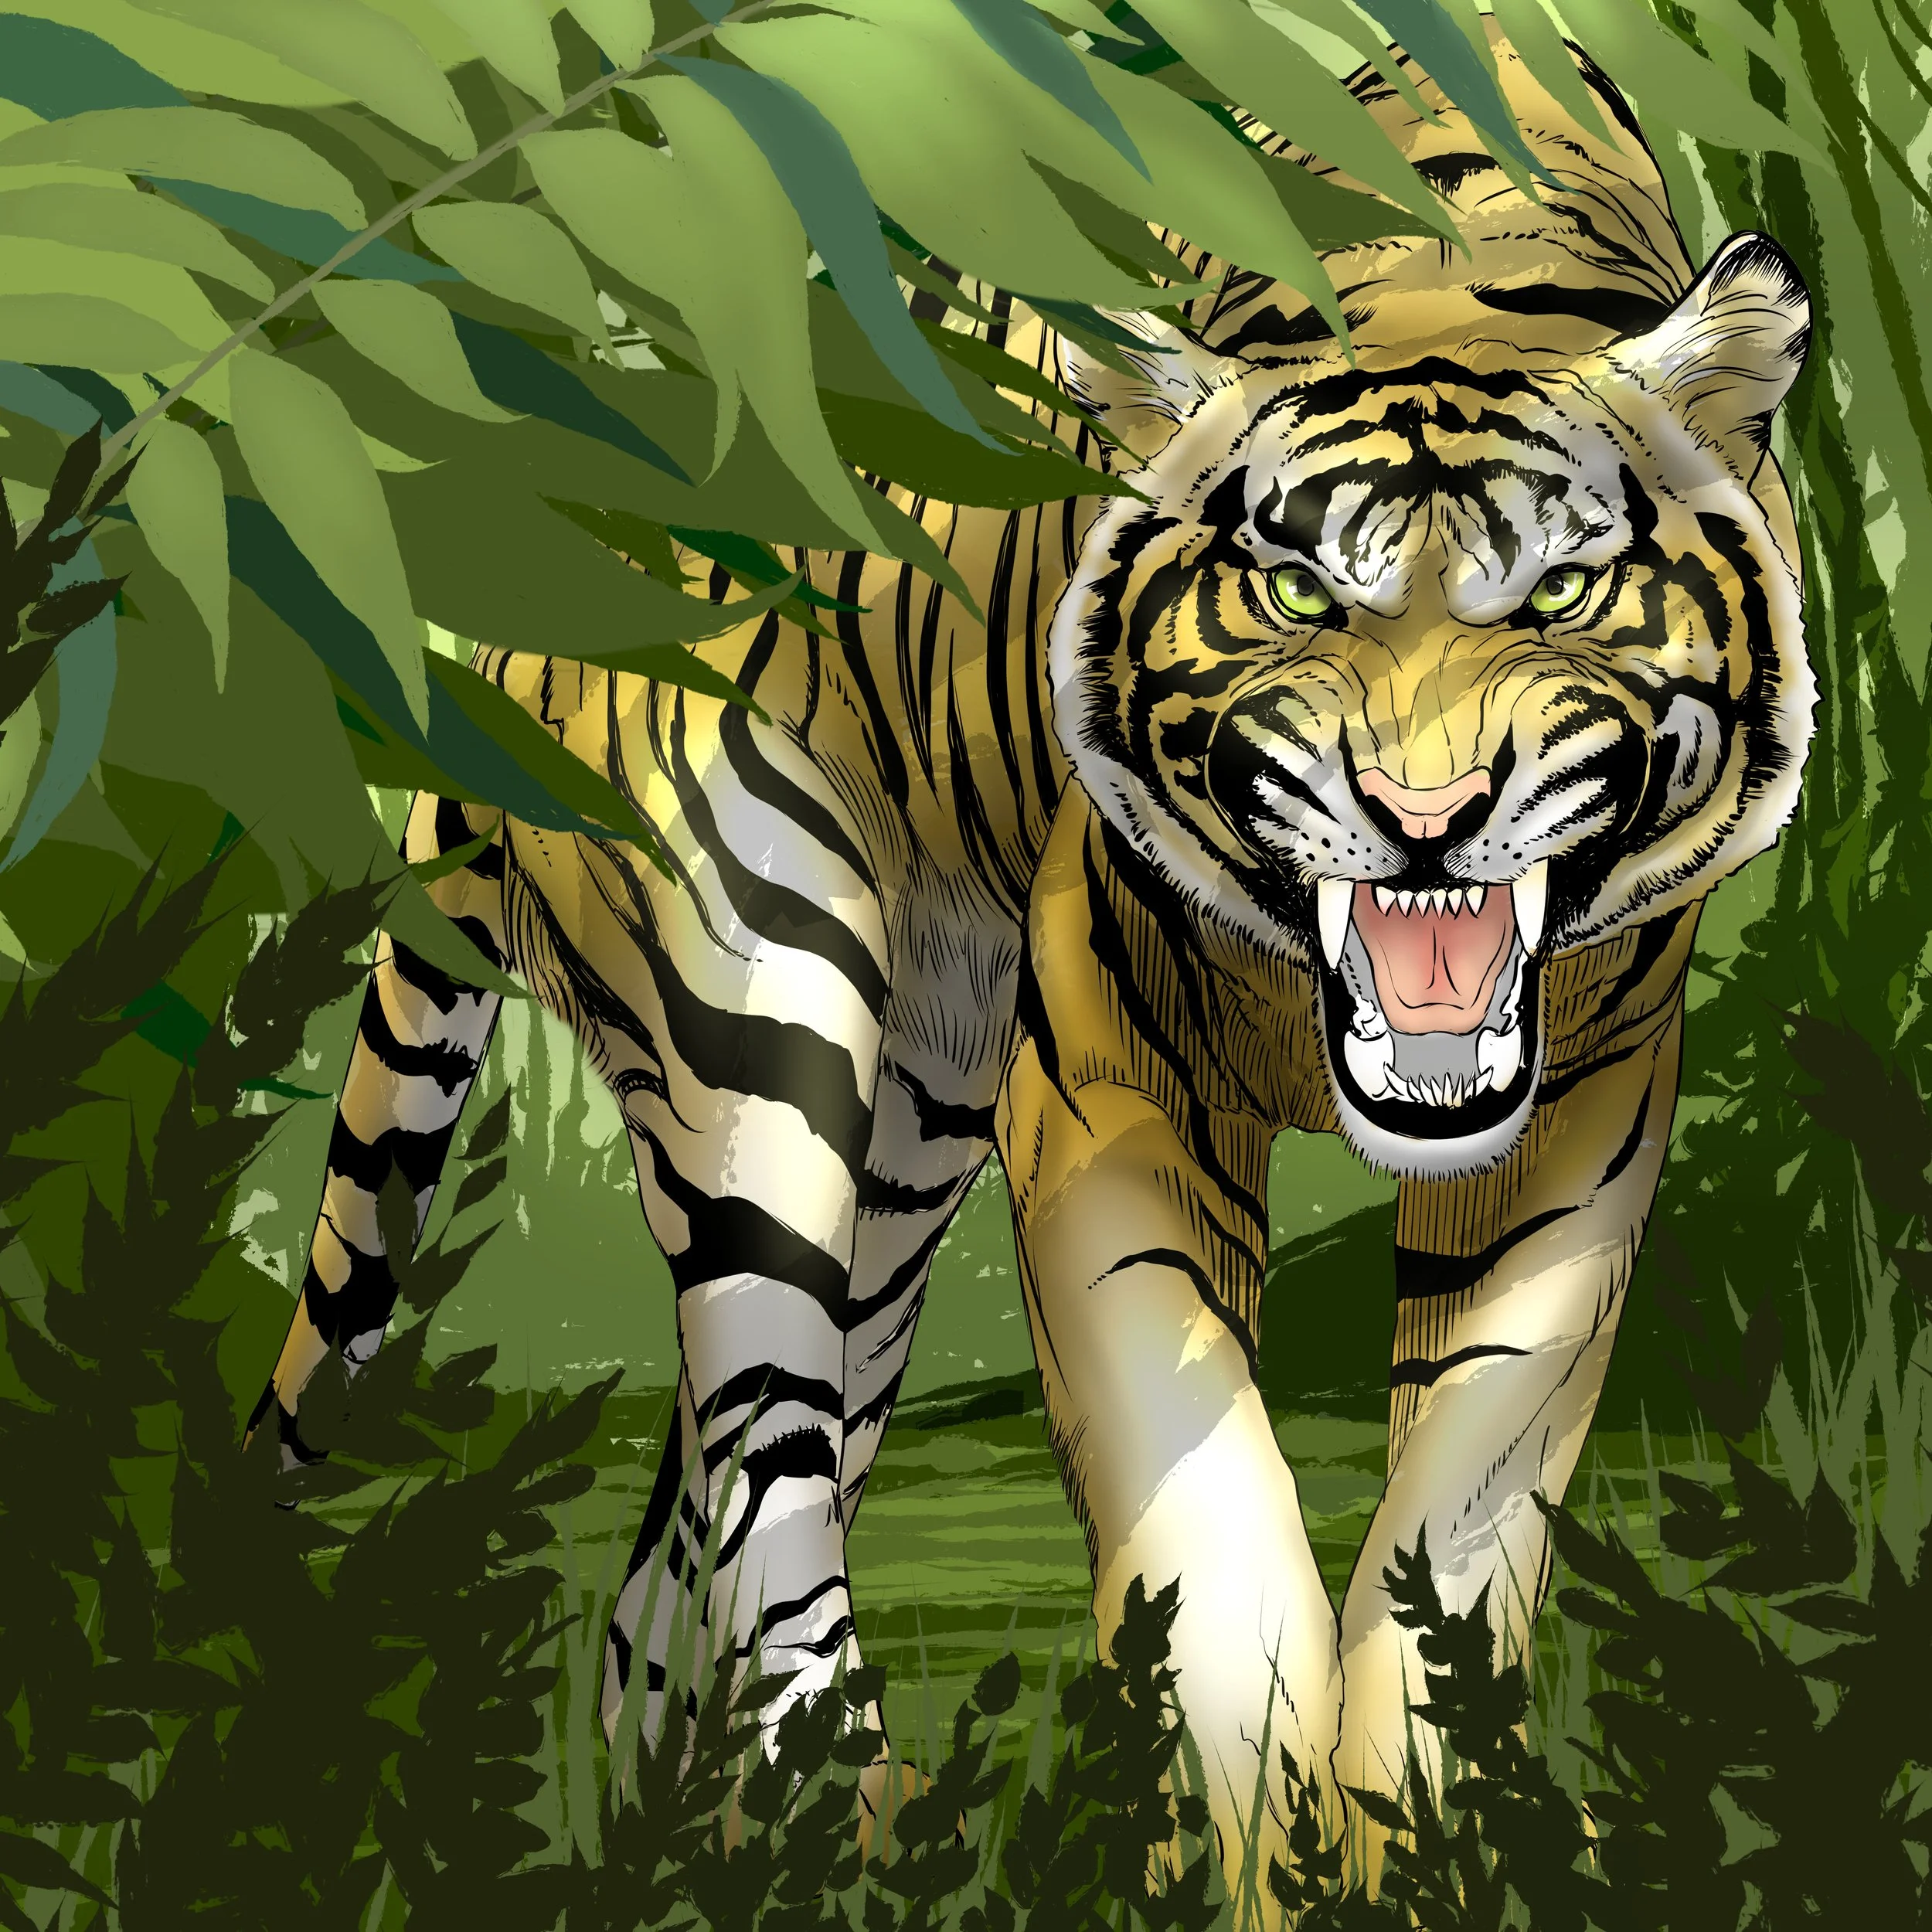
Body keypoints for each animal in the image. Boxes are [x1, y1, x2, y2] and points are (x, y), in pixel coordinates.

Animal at [250, 24, 1813, 1877]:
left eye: (1559, 592)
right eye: (1296, 592)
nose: (1422, 814)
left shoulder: (1577, 1125)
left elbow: (1466, 1507)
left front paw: (1430, 1834)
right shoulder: (1102, 1091)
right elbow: (1200, 1513)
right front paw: (1247, 1840)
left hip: (905, 1141)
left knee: (681, 1547)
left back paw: (686, 1853)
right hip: (758, 1038)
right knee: (765, 1483)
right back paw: (855, 1834)